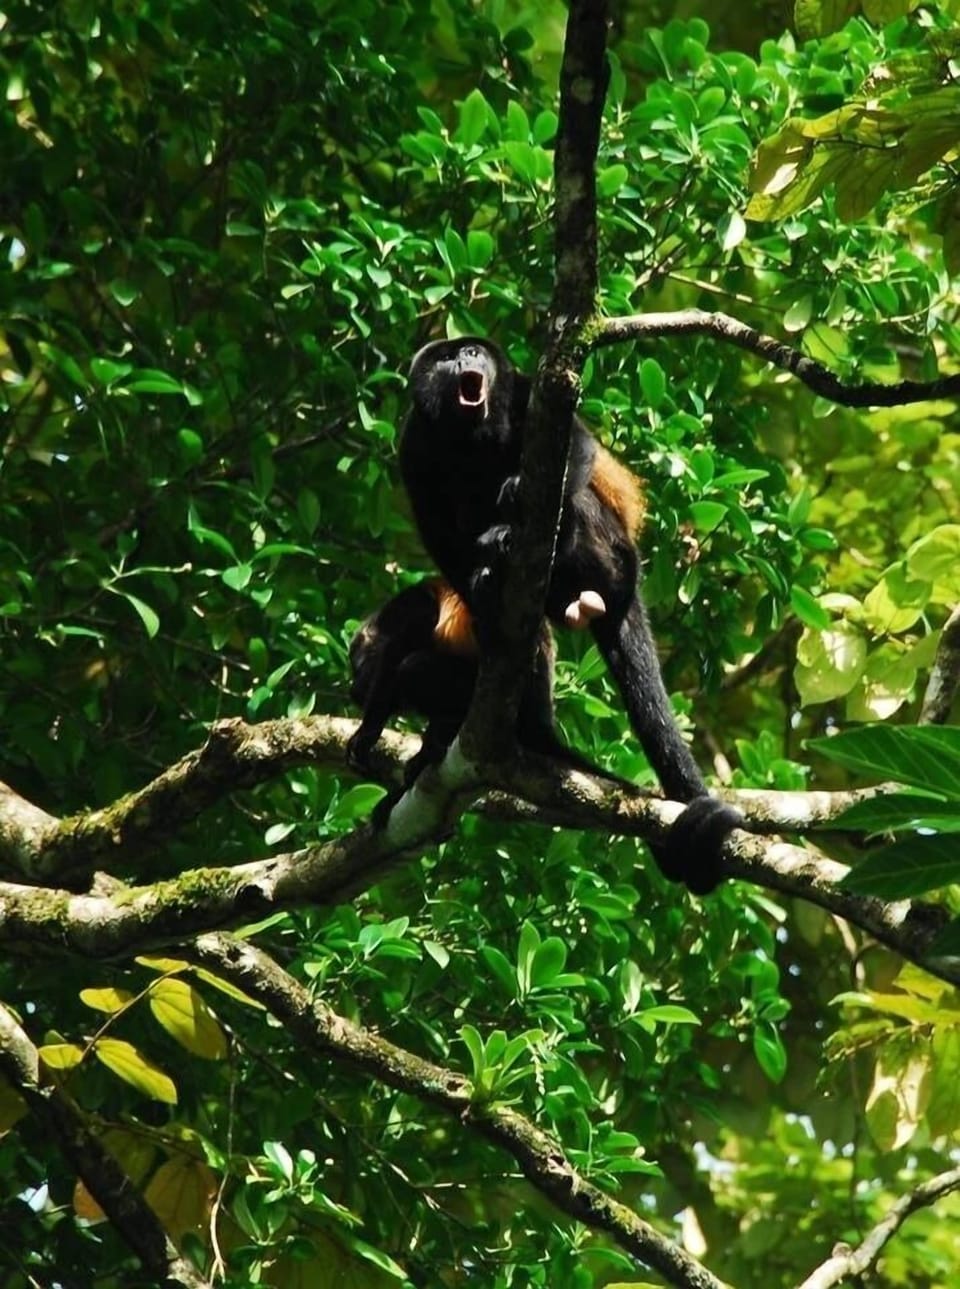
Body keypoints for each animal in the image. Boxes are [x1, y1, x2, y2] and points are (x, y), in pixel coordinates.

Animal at [397, 336, 742, 894]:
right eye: (447, 359)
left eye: (473, 351)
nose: (467, 359)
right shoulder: (413, 445)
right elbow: (437, 533)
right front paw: (479, 593)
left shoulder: (525, 391)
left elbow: (575, 449)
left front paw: (519, 496)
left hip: (612, 556)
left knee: (573, 503)